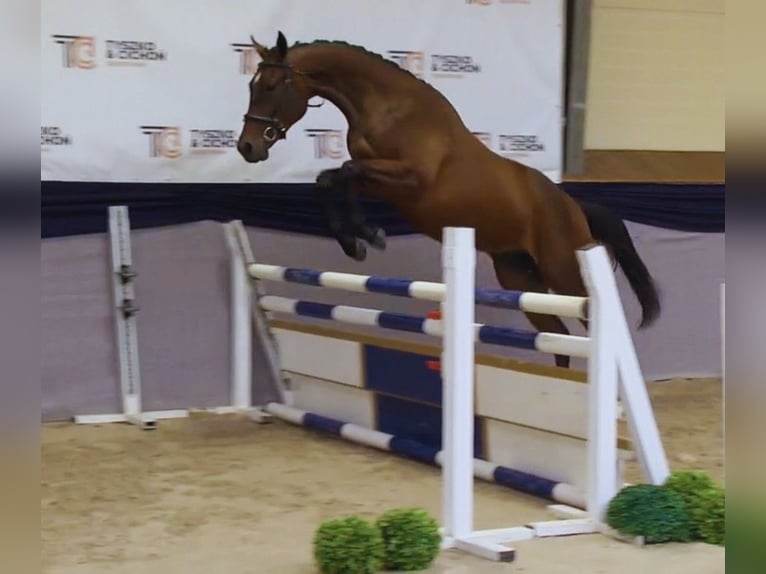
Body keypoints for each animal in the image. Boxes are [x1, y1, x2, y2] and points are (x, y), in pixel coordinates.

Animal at [236, 31, 661, 368]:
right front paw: (358, 239)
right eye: (252, 86)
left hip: (565, 271)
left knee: (593, 330)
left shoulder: (411, 179)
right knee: (559, 339)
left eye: (271, 86)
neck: (391, 110)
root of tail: (574, 207)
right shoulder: (385, 183)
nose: (247, 148)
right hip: (521, 276)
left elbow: (344, 172)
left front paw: (366, 236)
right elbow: (333, 179)